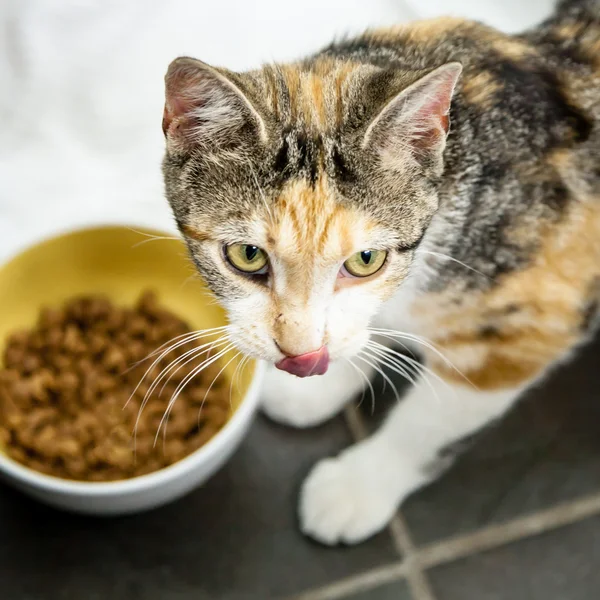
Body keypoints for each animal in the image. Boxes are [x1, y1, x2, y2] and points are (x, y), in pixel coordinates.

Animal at [159, 0, 600, 544]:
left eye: (365, 261)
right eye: (246, 255)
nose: (299, 353)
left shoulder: (528, 320)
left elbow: (433, 417)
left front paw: (358, 487)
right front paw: (326, 381)